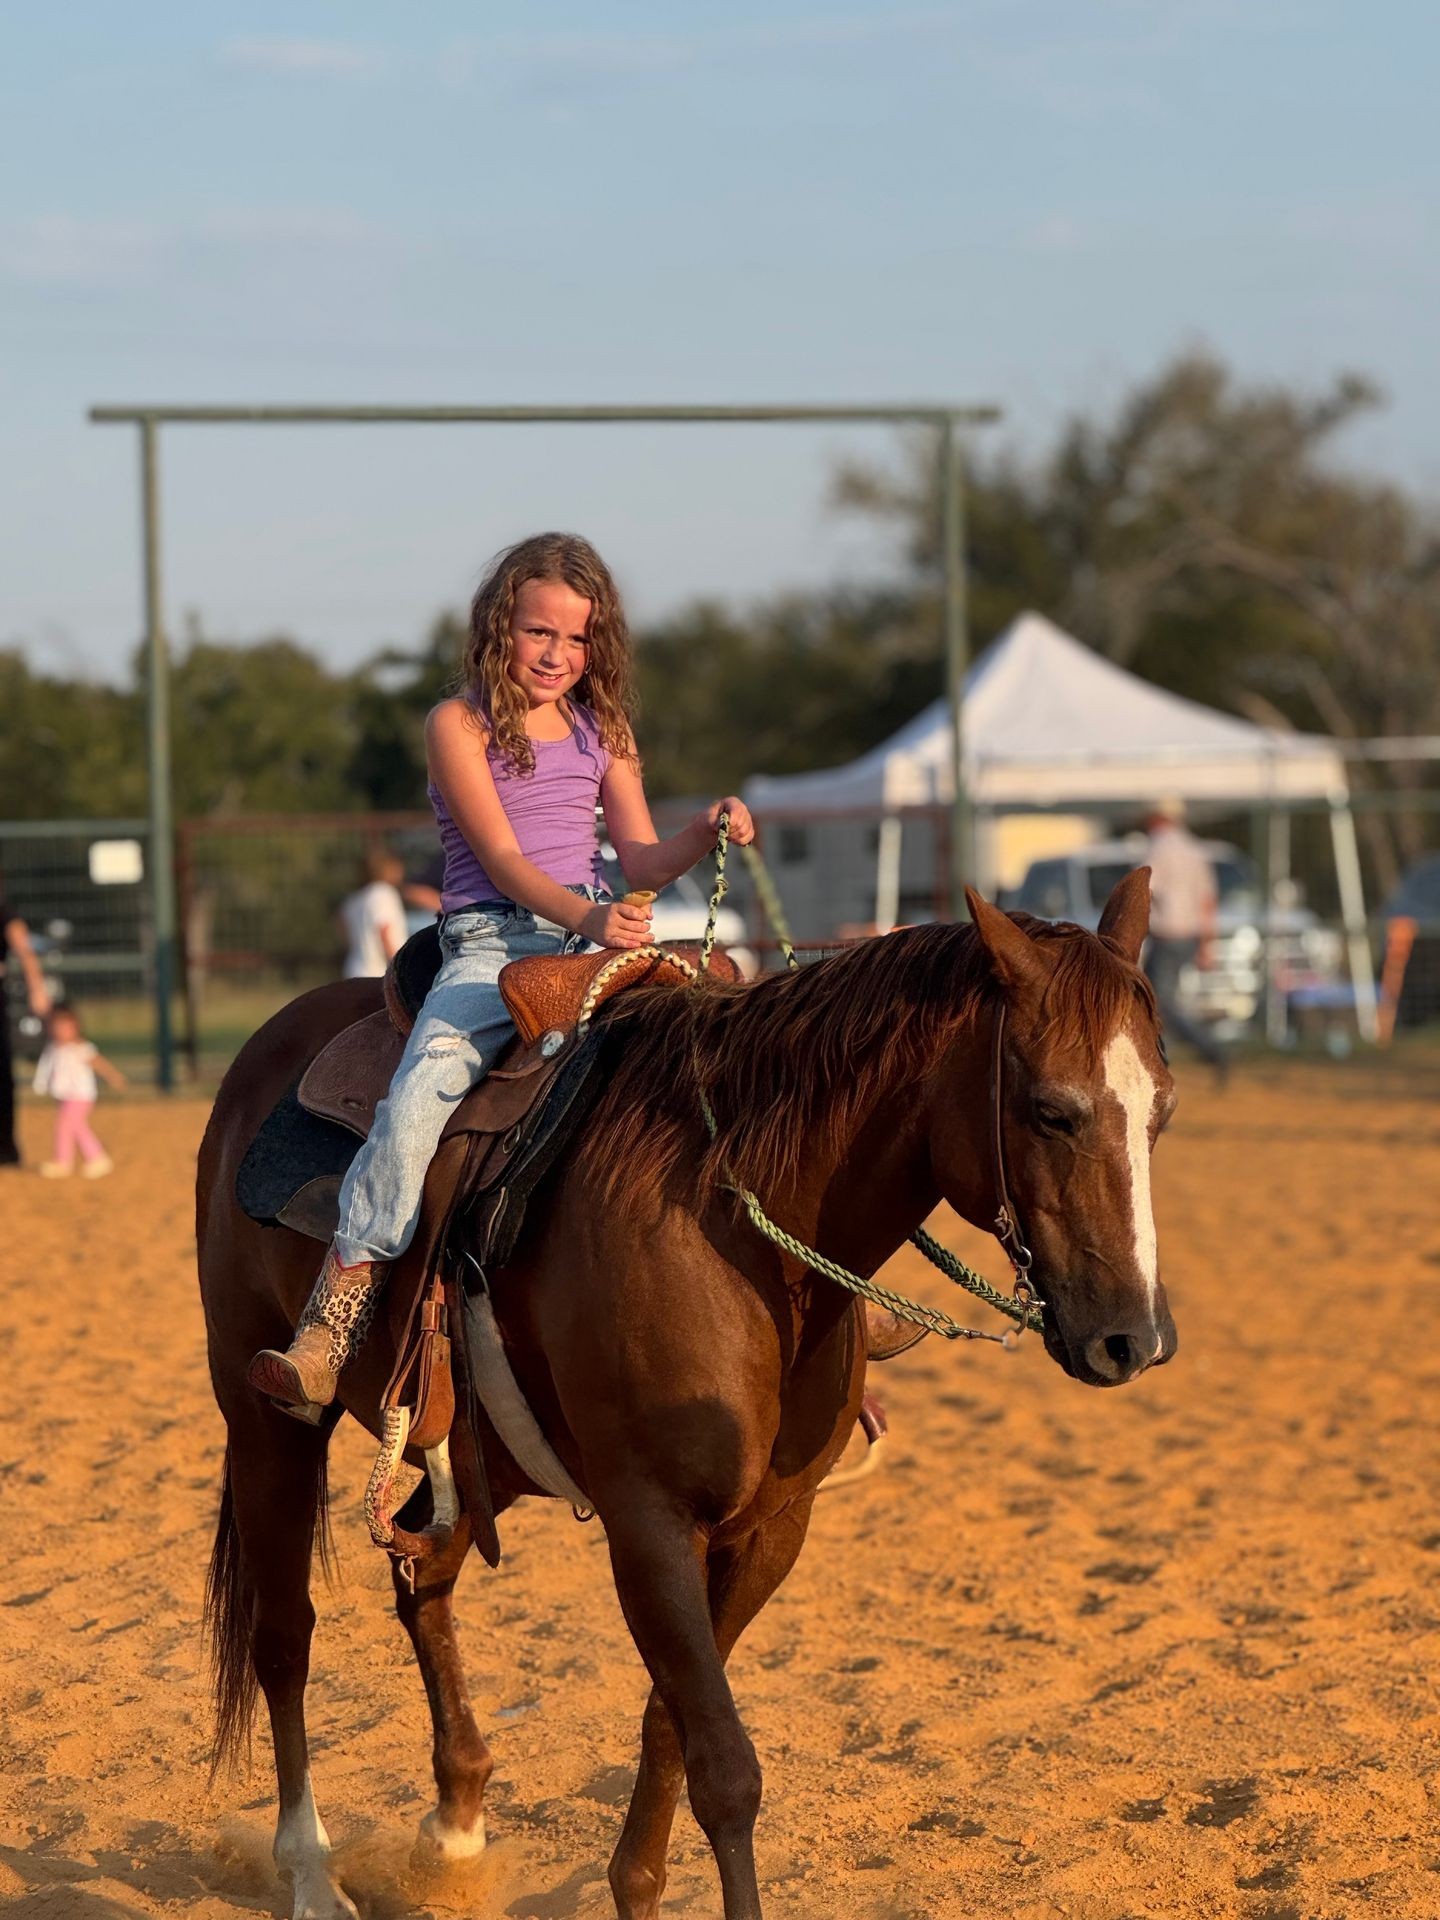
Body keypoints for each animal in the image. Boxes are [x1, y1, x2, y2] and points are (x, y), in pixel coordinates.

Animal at [197, 872, 1176, 1920]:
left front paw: (633, 1882)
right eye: (1050, 1111)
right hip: (264, 1420)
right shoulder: (651, 1523)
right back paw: (308, 1871)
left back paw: (454, 1828)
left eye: (1161, 1111)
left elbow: (675, 1724)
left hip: (470, 1449)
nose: (1133, 1338)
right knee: (283, 1634)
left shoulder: (769, 1529)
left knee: (425, 1569)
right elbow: (725, 1767)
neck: (733, 1219)